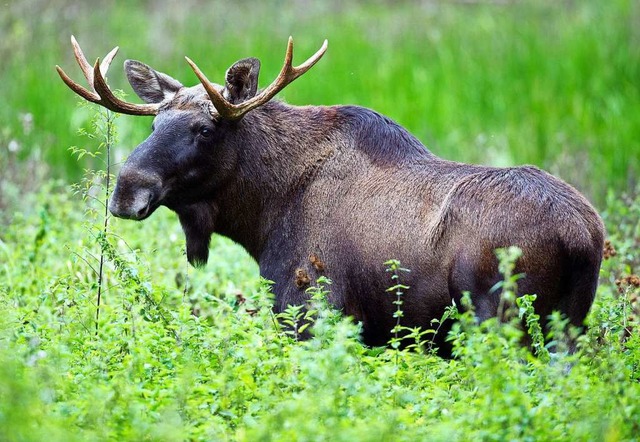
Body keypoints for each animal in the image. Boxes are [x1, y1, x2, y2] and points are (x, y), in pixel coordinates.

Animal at [57, 36, 604, 354]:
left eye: (205, 129)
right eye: (155, 123)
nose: (126, 190)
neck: (262, 213)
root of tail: (583, 238)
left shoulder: (310, 311)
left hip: (497, 317)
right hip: (569, 327)